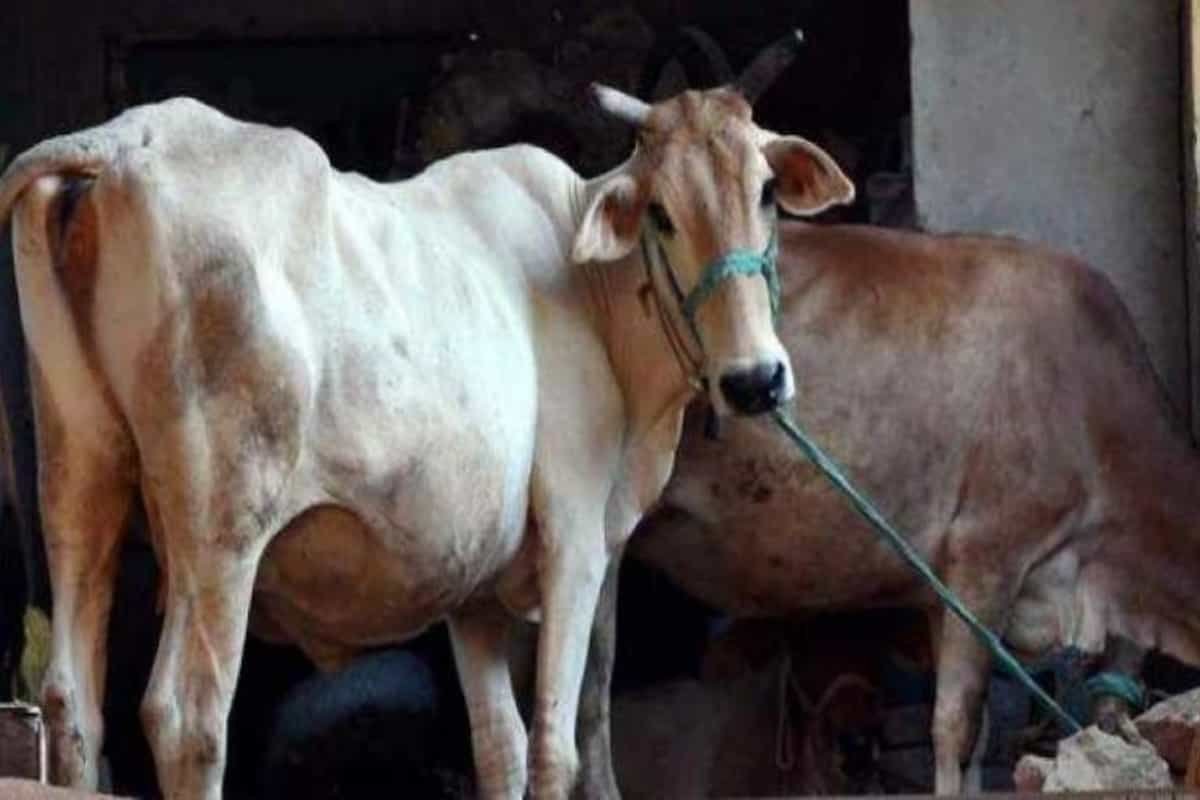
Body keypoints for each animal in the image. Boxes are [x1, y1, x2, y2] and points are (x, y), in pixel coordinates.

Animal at [0, 32, 851, 800]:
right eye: (663, 214)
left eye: (766, 192)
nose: (755, 380)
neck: (593, 293)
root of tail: (126, 140)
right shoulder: (575, 538)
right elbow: (556, 749)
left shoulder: (473, 589)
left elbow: (501, 750)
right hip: (221, 528)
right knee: (188, 719)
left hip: (79, 478)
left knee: (70, 702)